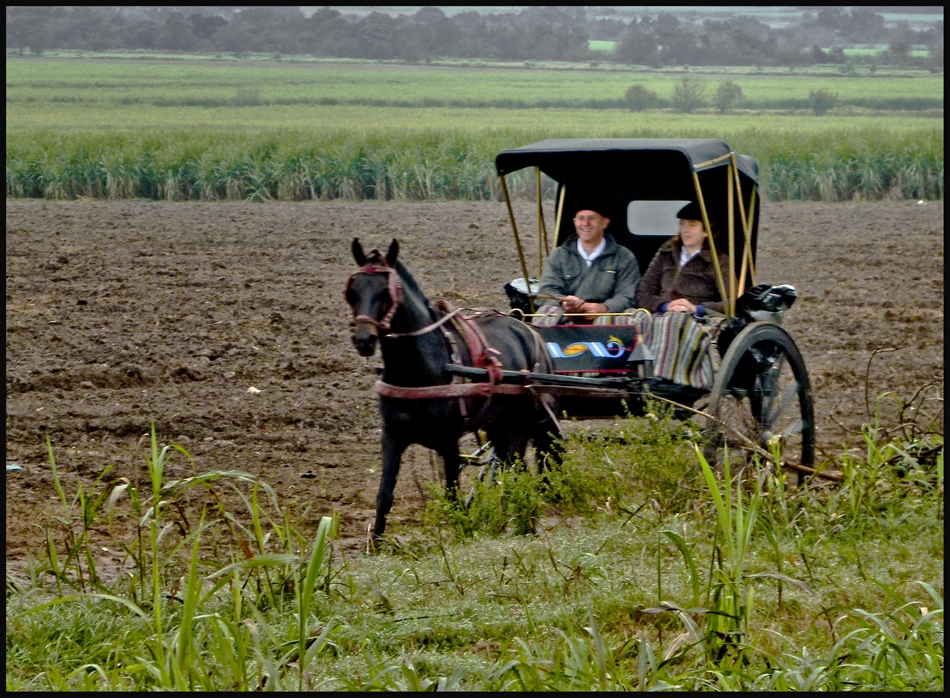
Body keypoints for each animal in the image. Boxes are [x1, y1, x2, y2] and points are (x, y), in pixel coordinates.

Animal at [346, 237, 560, 536]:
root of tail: (529, 331)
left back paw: (524, 525)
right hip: (498, 426)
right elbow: (384, 497)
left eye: (386, 291)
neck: (418, 369)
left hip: (521, 425)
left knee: (518, 471)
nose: (364, 340)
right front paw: (375, 542)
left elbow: (453, 496)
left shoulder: (448, 442)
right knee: (512, 471)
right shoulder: (392, 438)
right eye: (353, 291)